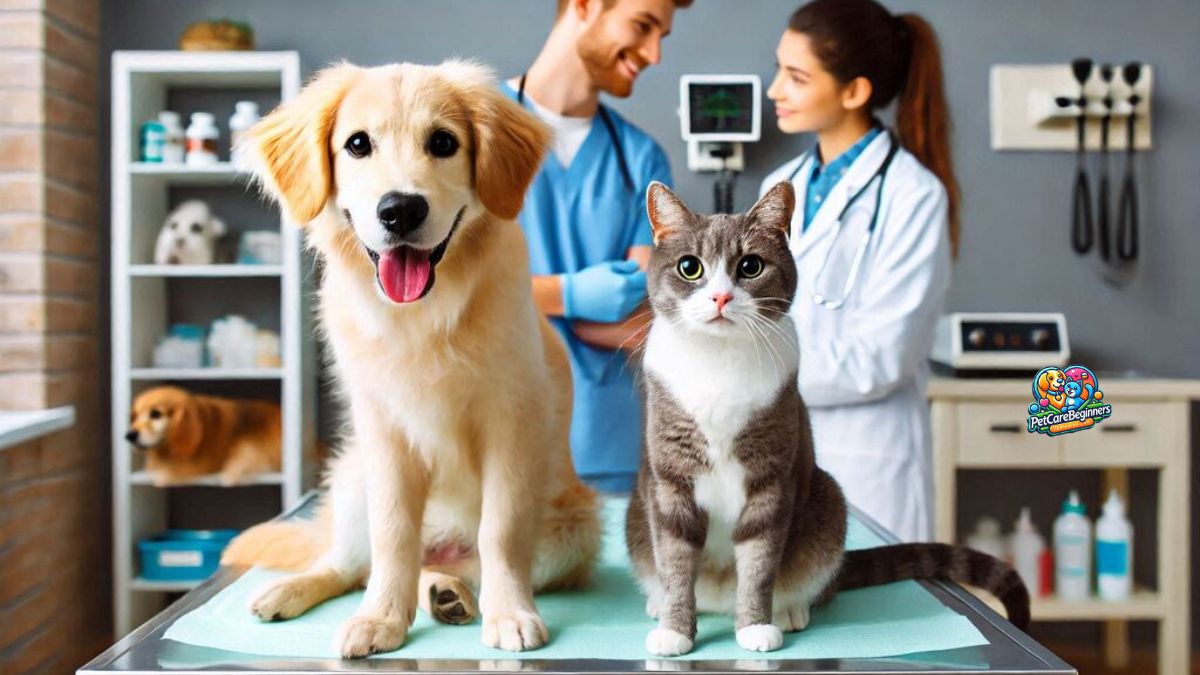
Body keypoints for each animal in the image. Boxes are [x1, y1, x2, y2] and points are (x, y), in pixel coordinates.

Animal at [218, 60, 600, 653]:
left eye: (443, 142)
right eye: (357, 144)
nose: (400, 210)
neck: (422, 316)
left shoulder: (512, 425)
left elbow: (500, 531)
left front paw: (509, 613)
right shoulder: (384, 433)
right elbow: (393, 535)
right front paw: (381, 619)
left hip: (574, 529)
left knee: (459, 564)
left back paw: (451, 594)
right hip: (353, 479)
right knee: (352, 565)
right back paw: (297, 590)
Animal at [624, 181, 1027, 653]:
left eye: (750, 266)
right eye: (690, 267)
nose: (720, 296)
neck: (717, 360)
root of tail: (719, 597)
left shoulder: (772, 475)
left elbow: (759, 561)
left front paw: (756, 625)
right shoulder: (670, 478)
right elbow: (674, 557)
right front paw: (674, 630)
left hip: (828, 500)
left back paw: (788, 610)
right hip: (638, 511)